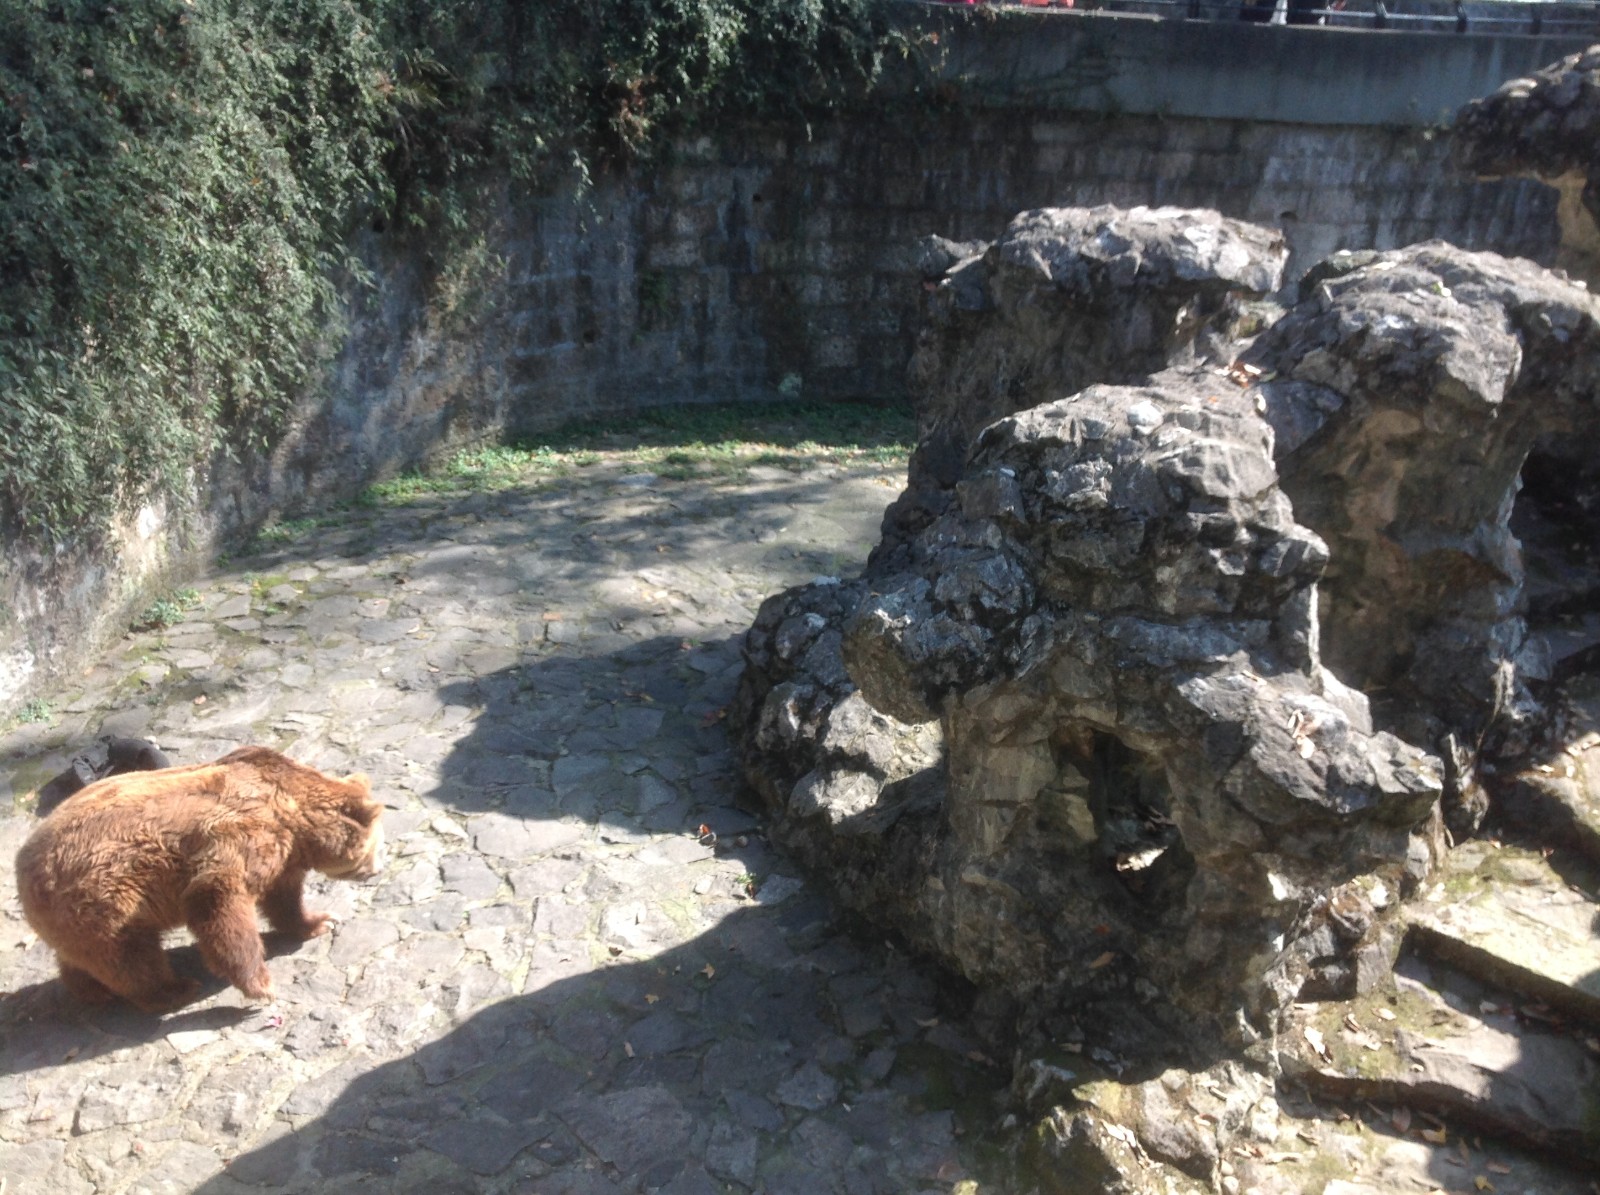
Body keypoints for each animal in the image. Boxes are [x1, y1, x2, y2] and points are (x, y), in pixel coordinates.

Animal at [16, 746, 385, 1012]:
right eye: (375, 847)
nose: (376, 870)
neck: (292, 816)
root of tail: (21, 869)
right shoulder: (239, 838)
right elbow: (217, 901)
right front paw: (261, 986)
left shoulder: (282, 858)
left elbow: (284, 899)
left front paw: (319, 921)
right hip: (101, 898)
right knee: (130, 956)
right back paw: (175, 989)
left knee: (84, 956)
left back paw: (89, 990)